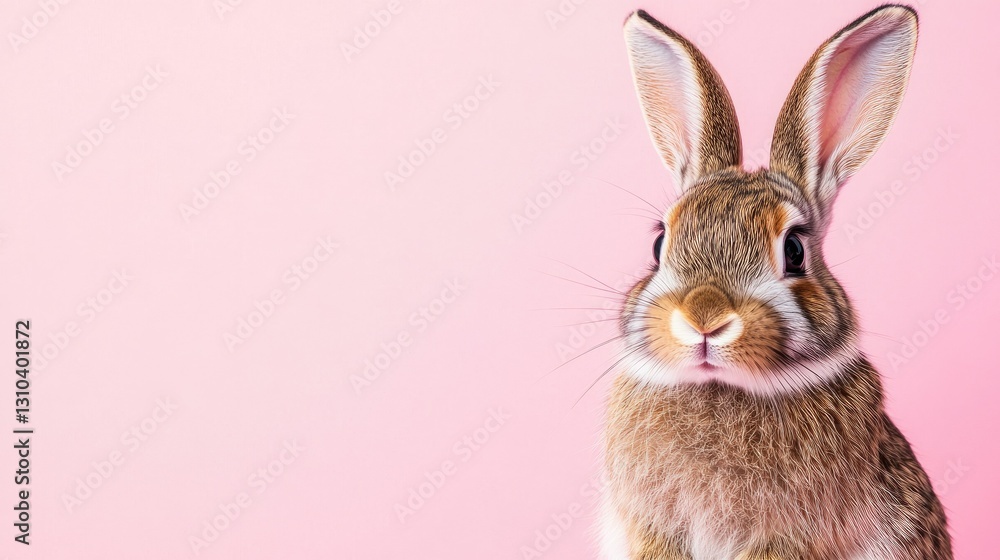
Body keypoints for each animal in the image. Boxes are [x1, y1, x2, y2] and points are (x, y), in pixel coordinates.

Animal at [601, 5, 952, 560]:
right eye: (659, 243)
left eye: (794, 251)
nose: (704, 318)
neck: (719, 387)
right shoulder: (652, 529)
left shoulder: (786, 537)